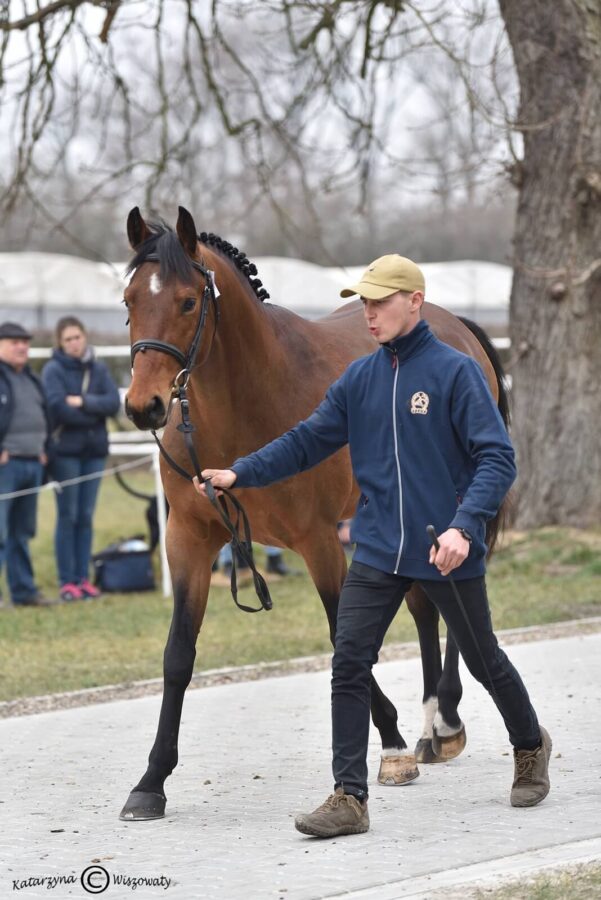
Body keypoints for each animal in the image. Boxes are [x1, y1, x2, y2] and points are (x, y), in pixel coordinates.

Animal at [119, 206, 508, 824]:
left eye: (186, 301)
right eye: (130, 299)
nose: (143, 406)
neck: (247, 406)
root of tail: (453, 326)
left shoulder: (321, 542)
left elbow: (341, 635)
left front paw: (391, 744)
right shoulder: (189, 540)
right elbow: (178, 654)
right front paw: (150, 782)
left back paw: (442, 723)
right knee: (425, 608)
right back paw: (431, 728)